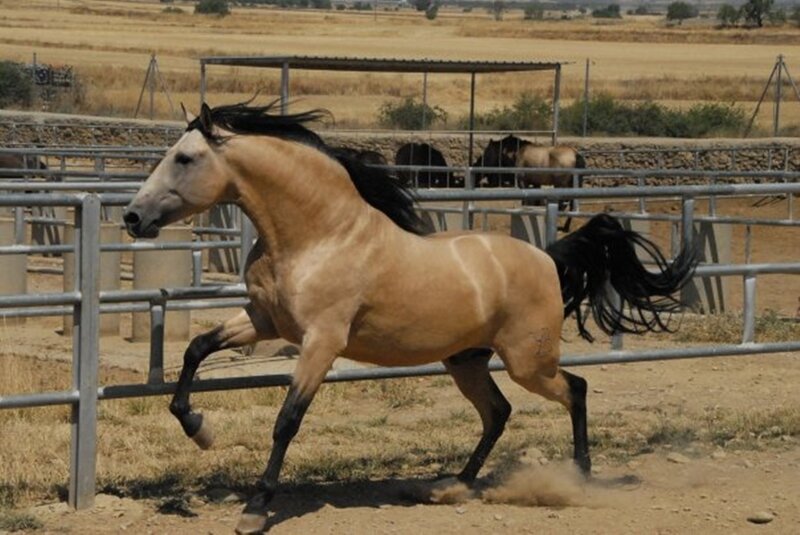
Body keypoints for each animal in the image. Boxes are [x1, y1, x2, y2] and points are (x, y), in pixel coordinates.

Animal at [123, 101, 696, 534]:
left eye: (185, 158)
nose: (132, 216)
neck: (318, 235)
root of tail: (548, 258)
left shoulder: (320, 342)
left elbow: (287, 420)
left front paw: (256, 509)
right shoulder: (265, 321)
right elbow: (196, 349)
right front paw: (199, 429)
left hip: (527, 360)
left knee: (574, 389)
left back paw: (578, 477)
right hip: (466, 361)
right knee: (499, 412)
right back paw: (452, 486)